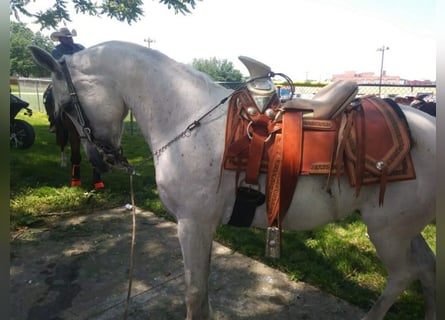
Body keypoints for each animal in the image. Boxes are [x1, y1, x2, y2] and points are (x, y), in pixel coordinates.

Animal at [28, 40, 438, 320]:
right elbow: (204, 289)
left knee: (404, 275)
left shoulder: (191, 224)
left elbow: (194, 293)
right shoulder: (203, 225)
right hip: (405, 229)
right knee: (428, 268)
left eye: (67, 104)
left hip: (387, 231)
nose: (100, 158)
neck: (186, 118)